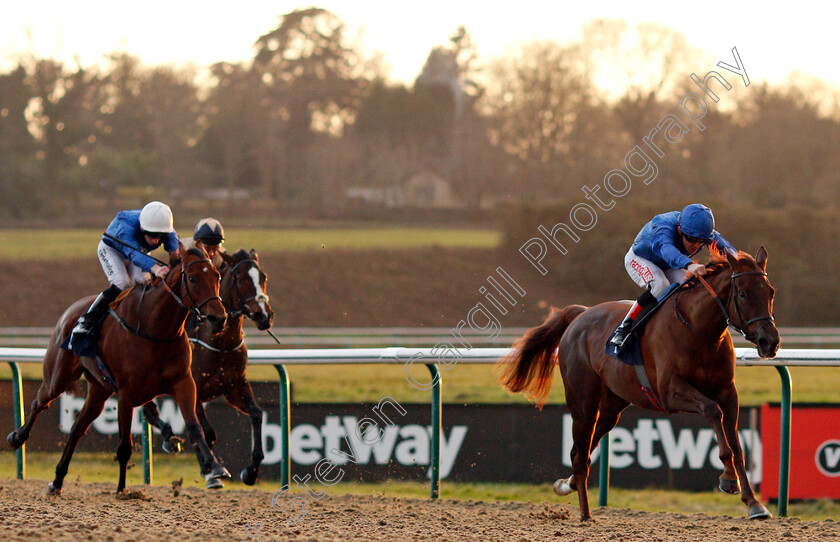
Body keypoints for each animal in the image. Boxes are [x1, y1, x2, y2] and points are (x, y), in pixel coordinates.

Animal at [6, 244, 231, 496]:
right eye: (192, 278)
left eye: (217, 276)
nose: (219, 318)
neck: (157, 330)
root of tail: (70, 311)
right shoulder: (126, 394)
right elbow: (124, 446)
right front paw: (122, 489)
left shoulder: (183, 383)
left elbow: (194, 427)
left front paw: (215, 467)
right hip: (58, 376)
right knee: (40, 402)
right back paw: (17, 437)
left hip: (99, 389)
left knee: (77, 427)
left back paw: (56, 481)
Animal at [140, 251, 272, 488]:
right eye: (241, 279)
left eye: (263, 277)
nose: (264, 316)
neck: (220, 344)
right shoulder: (195, 390)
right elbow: (207, 431)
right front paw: (210, 471)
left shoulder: (235, 387)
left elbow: (257, 414)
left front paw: (251, 471)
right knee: (149, 411)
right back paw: (170, 438)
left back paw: (170, 439)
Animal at [498, 248, 780, 524]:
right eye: (742, 293)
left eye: (770, 292)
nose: (770, 342)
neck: (699, 329)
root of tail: (581, 314)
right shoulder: (670, 392)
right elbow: (713, 411)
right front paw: (728, 478)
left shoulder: (728, 392)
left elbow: (736, 444)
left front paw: (754, 503)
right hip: (583, 402)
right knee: (580, 453)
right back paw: (586, 514)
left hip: (612, 405)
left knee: (583, 450)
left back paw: (568, 485)